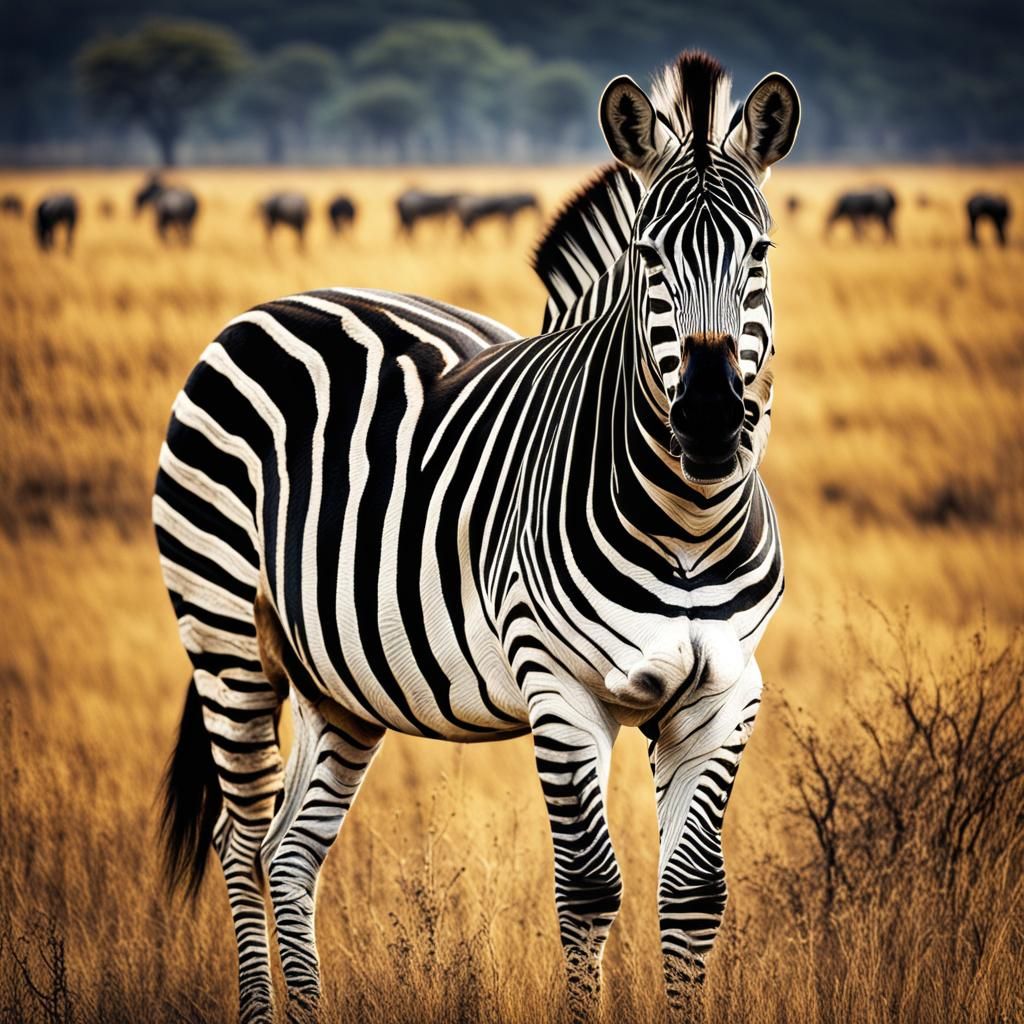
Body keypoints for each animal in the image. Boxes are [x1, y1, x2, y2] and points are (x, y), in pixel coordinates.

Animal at [157, 49, 798, 1023]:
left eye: (759, 254)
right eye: (649, 256)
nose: (712, 418)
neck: (687, 519)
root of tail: (276, 305)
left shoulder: (724, 690)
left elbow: (693, 893)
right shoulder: (561, 685)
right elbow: (590, 888)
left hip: (338, 680)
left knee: (287, 847)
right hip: (224, 631)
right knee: (240, 840)